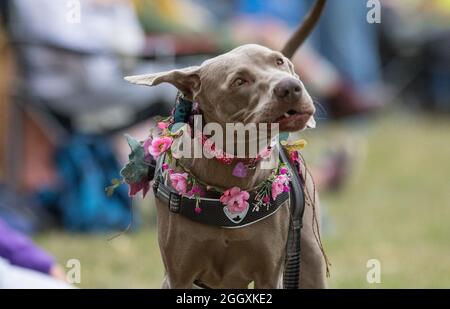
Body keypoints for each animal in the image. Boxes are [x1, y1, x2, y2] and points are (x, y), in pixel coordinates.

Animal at [125, 0, 326, 288]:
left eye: (279, 61)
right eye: (239, 81)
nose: (291, 87)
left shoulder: (269, 274)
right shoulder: (179, 275)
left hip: (308, 254)